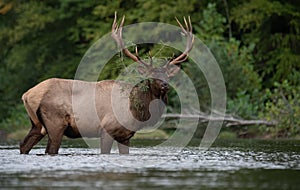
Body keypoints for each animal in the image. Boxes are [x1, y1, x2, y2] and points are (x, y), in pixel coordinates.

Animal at [19, 13, 193, 154]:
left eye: (167, 75)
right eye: (151, 76)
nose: (165, 85)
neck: (136, 112)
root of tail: (27, 95)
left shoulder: (125, 136)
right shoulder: (107, 129)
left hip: (37, 125)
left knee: (24, 145)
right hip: (55, 122)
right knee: (50, 149)